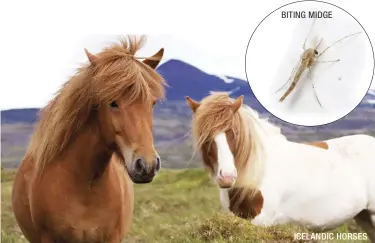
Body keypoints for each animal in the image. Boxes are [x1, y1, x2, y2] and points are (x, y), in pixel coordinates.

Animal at [187, 92, 375, 242]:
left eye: (234, 133)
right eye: (205, 138)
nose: (226, 177)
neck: (256, 174)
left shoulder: (261, 222)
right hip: (364, 216)